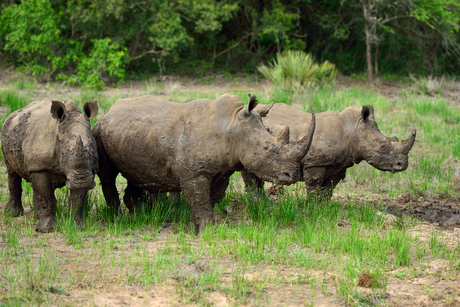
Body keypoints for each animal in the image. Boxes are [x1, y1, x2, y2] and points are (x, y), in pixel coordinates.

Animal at [1, 98, 99, 233]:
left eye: (91, 150)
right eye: (63, 152)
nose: (81, 180)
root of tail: (14, 113)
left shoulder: (87, 170)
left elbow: (78, 198)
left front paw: (76, 227)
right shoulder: (40, 166)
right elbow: (47, 196)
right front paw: (44, 230)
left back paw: (36, 216)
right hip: (8, 135)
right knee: (12, 172)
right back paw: (13, 214)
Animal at [92, 94, 316, 233]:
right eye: (266, 149)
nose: (292, 175)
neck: (231, 126)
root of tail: (109, 110)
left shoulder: (223, 168)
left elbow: (209, 198)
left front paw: (197, 226)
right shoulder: (193, 173)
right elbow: (200, 198)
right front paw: (208, 230)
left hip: (133, 134)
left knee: (136, 174)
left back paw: (141, 217)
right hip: (99, 131)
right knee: (108, 177)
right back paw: (118, 218)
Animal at [243, 103, 416, 199]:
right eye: (382, 146)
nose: (403, 164)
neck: (354, 130)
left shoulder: (340, 164)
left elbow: (329, 188)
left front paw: (324, 207)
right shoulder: (315, 161)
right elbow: (315, 184)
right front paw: (311, 206)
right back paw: (256, 201)